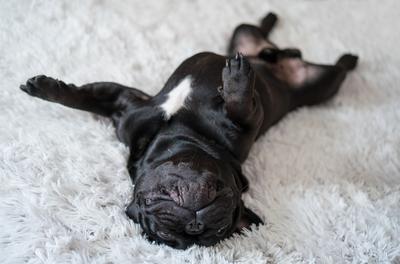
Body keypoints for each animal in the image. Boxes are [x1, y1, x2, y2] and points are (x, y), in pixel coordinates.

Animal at [20, 13, 358, 250]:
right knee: (259, 34)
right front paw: (45, 89)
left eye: (220, 229)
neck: (181, 131)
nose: (194, 227)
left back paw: (346, 56)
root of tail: (280, 57)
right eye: (162, 233)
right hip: (270, 52)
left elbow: (240, 105)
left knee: (333, 67)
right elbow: (88, 97)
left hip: (321, 84)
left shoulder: (246, 121)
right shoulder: (127, 108)